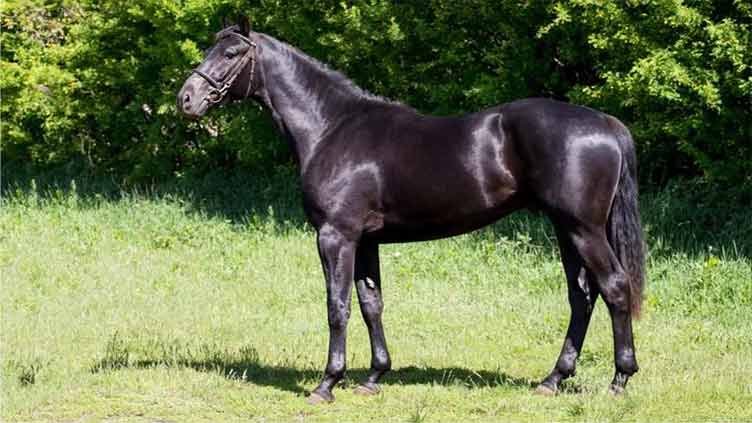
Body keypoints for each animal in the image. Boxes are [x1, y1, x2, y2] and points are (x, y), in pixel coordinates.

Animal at [178, 17, 645, 404]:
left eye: (231, 54)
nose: (186, 99)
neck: (332, 128)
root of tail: (606, 124)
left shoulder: (335, 235)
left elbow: (337, 306)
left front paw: (327, 384)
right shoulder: (365, 240)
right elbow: (371, 303)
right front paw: (373, 378)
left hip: (583, 229)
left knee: (615, 287)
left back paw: (619, 380)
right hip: (566, 229)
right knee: (582, 296)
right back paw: (553, 380)